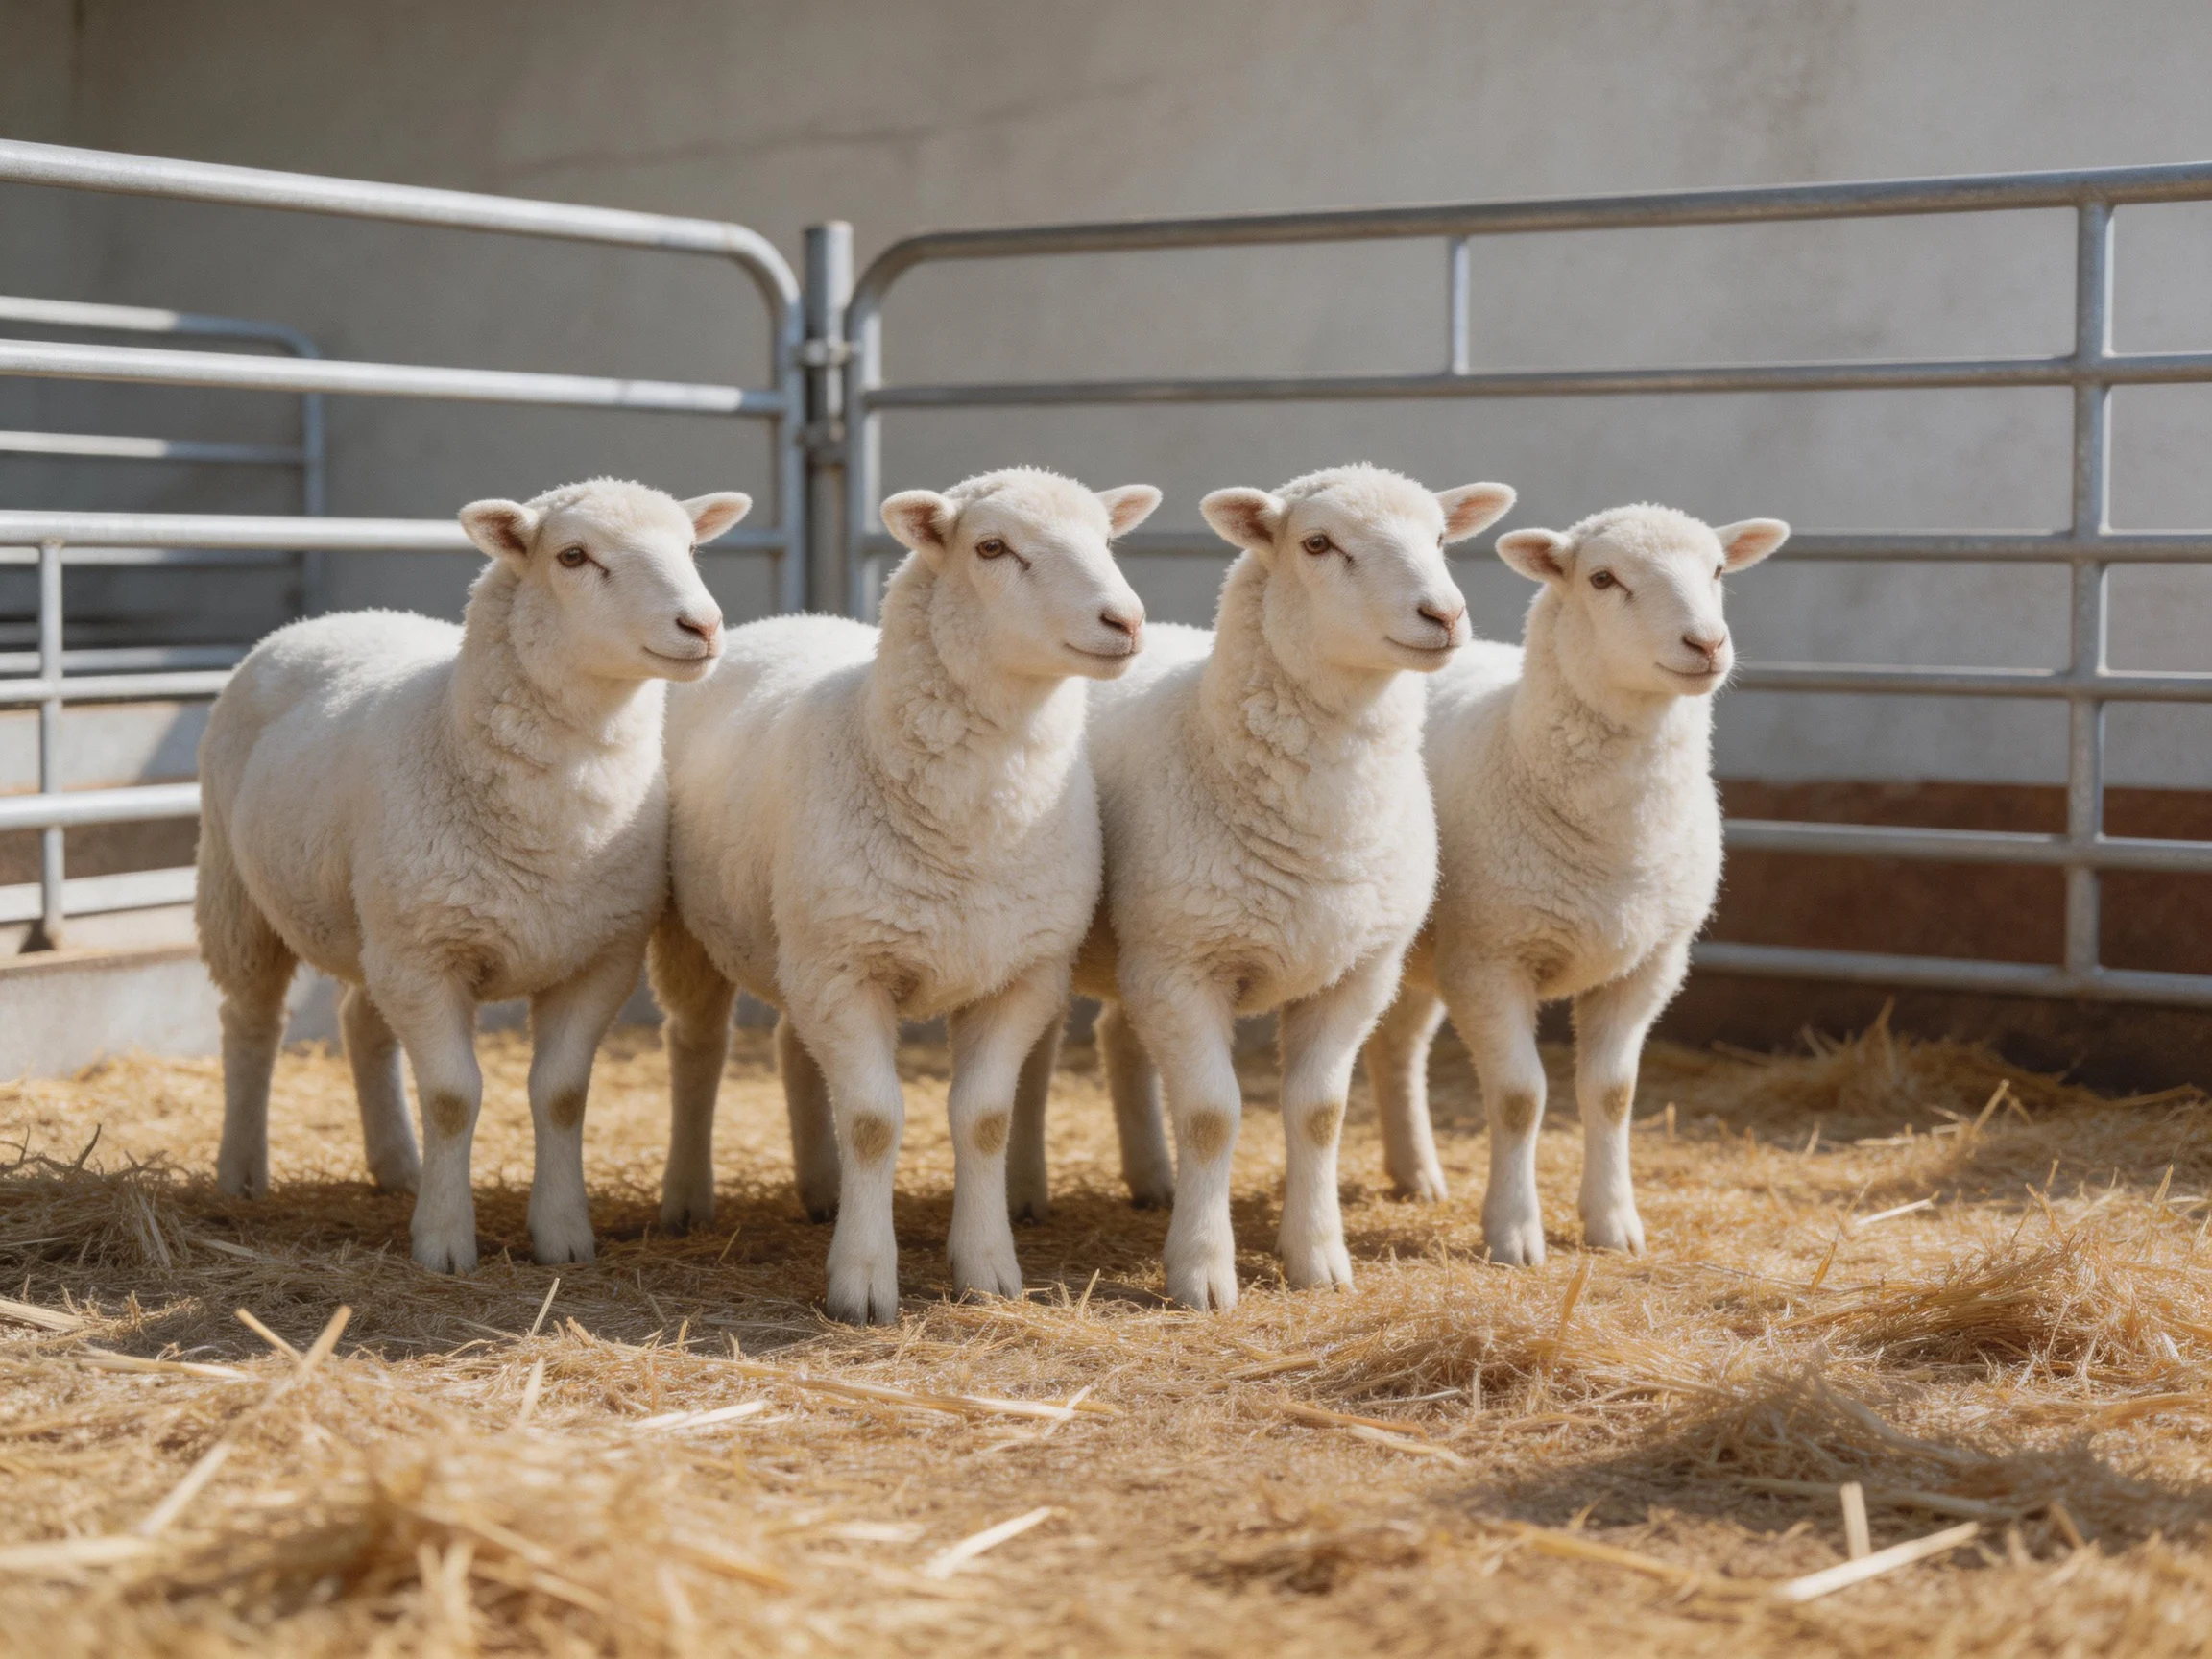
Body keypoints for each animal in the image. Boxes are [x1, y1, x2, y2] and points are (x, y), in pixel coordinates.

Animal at [196, 478, 746, 1273]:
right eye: (572, 556)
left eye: (693, 547)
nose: (702, 626)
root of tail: (330, 617)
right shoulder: (428, 957)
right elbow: (454, 1097)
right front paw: (445, 1242)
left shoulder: (598, 956)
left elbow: (562, 1095)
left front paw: (563, 1234)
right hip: (240, 895)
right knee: (250, 1022)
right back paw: (241, 1169)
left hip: (379, 921)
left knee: (361, 1021)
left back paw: (398, 1166)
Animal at [651, 467, 1158, 1325]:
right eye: (992, 548)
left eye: (1107, 539)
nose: (1124, 619)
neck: (971, 830)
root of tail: (790, 618)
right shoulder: (848, 971)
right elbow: (871, 1121)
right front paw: (861, 1280)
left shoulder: (1019, 974)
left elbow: (984, 1121)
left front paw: (986, 1270)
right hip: (701, 933)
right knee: (696, 1048)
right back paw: (686, 1197)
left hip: (806, 938)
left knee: (792, 1045)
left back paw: (820, 1190)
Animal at [1009, 464, 1516, 1311]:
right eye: (1317, 544)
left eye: (1442, 537)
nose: (1443, 614)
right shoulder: (1182, 967)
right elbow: (1212, 1116)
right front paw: (1203, 1272)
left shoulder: (1356, 973)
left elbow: (1319, 1114)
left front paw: (1317, 1258)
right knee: (1038, 1058)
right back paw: (1025, 1192)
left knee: (1117, 1036)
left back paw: (1152, 1180)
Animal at [1362, 503, 1789, 1265]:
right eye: (1602, 579)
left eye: (1717, 570)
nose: (1707, 643)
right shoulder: (1490, 959)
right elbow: (1518, 1097)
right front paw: (1513, 1231)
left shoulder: (1651, 963)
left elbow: (1613, 1093)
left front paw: (1613, 1223)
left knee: (1398, 1047)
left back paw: (1416, 1174)